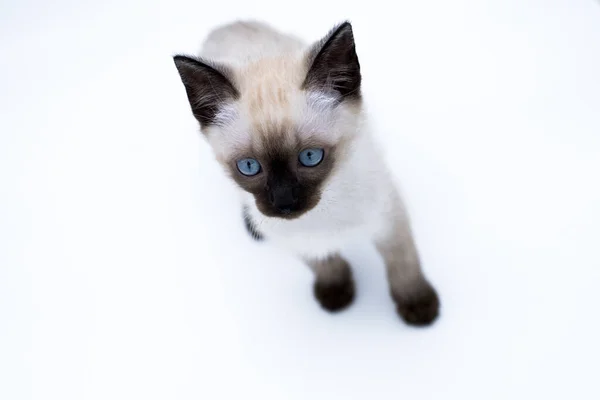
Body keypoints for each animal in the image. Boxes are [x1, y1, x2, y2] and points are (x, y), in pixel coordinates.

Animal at [173, 20, 440, 324]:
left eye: (310, 157)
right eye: (249, 166)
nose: (285, 203)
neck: (322, 213)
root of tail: (230, 25)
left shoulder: (388, 217)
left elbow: (403, 265)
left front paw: (419, 306)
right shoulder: (294, 237)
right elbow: (325, 264)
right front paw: (336, 294)